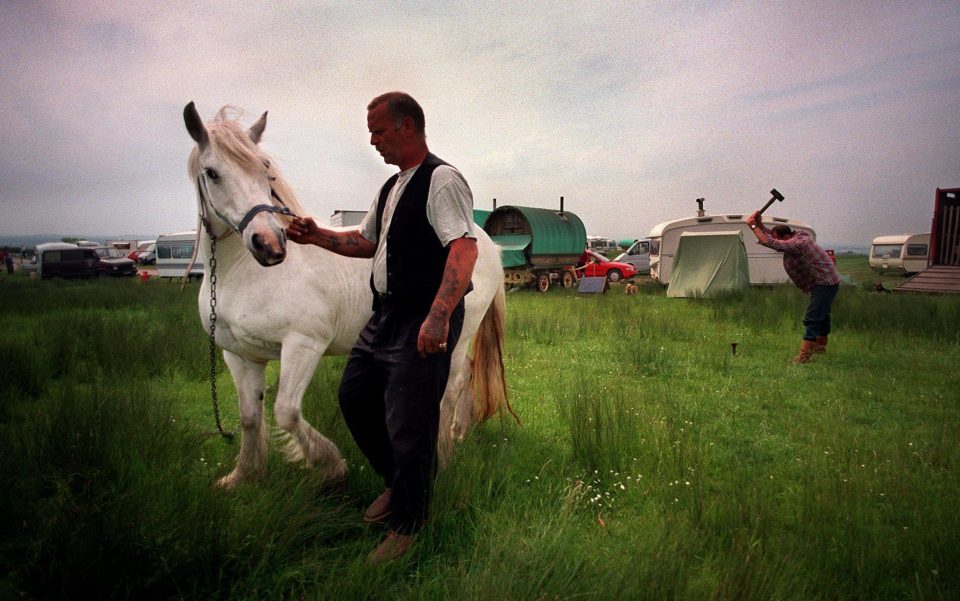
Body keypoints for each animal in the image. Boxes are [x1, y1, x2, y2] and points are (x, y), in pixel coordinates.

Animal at [182, 102, 510, 488]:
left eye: (266, 173)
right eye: (212, 173)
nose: (270, 244)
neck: (245, 274)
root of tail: (485, 243)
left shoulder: (303, 345)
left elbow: (286, 412)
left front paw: (330, 464)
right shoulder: (239, 355)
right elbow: (250, 415)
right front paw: (244, 475)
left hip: (452, 337)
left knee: (451, 386)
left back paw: (442, 454)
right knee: (467, 376)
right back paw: (460, 432)